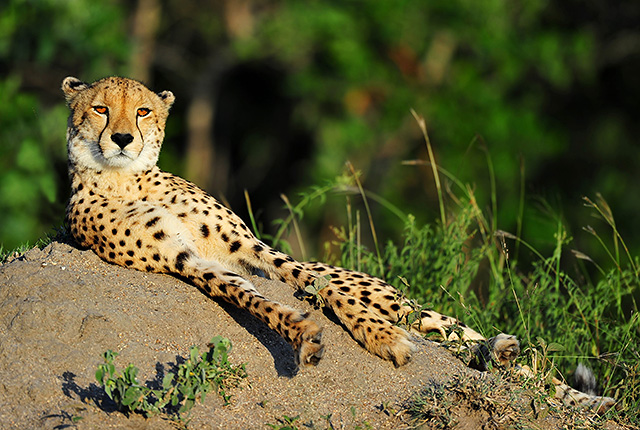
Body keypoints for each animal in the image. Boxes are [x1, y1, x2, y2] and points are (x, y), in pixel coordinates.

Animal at [62, 76, 616, 412]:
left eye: (143, 112)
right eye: (100, 108)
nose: (122, 139)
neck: (127, 180)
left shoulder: (250, 247)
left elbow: (314, 282)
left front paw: (380, 337)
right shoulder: (188, 261)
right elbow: (254, 298)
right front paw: (304, 333)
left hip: (393, 296)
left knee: (453, 332)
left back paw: (569, 391)